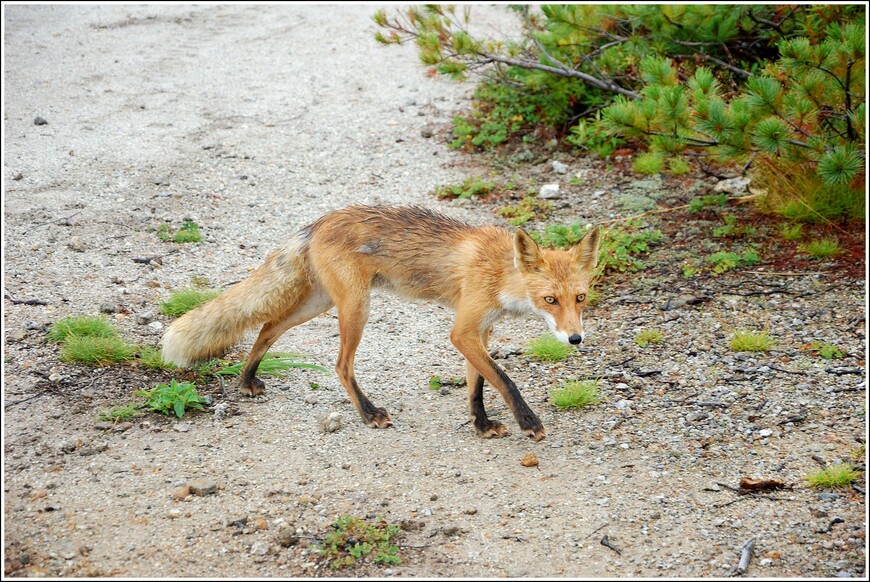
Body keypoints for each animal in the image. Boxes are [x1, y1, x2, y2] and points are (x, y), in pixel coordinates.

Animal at [162, 208, 600, 440]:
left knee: (268, 326)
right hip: (356, 308)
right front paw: (528, 421)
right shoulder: (462, 330)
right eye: (550, 300)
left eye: (580, 298)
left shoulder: (479, 329)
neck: (499, 273)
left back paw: (247, 379)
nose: (575, 339)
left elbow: (478, 384)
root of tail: (319, 222)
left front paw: (481, 423)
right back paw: (368, 413)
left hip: (320, 303)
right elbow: (504, 380)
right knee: (341, 365)